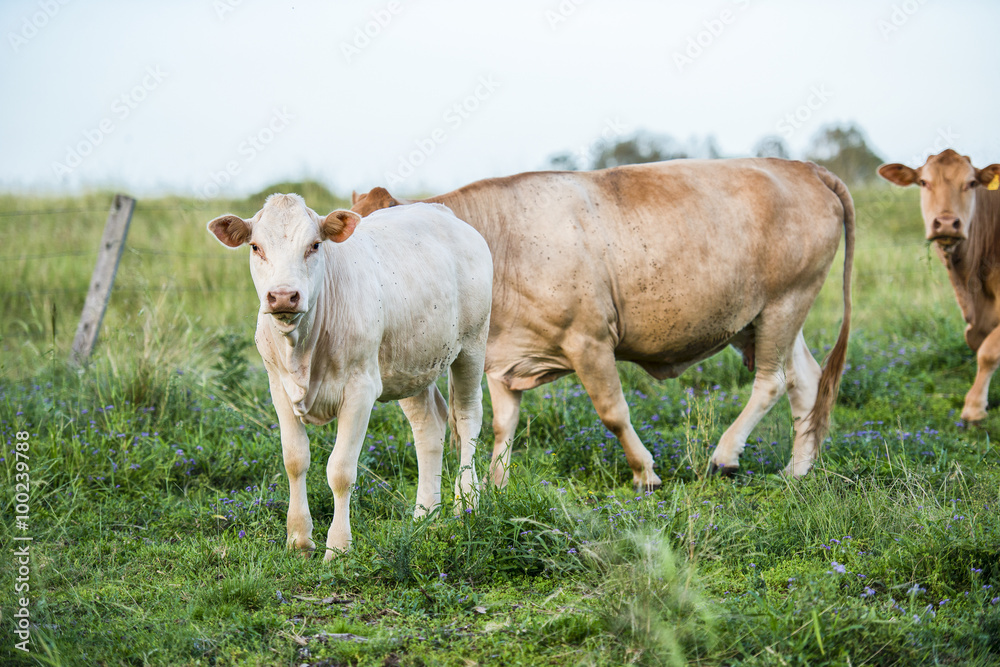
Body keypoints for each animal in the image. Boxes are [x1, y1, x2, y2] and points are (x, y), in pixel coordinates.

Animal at [208, 196, 496, 560]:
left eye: (315, 245)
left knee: (469, 416)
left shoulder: (361, 389)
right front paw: (299, 540)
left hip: (473, 344)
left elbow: (341, 470)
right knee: (429, 426)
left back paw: (466, 505)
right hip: (413, 365)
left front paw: (338, 547)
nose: (284, 295)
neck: (302, 350)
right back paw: (424, 515)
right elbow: (294, 460)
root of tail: (441, 211)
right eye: (256, 246)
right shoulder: (278, 387)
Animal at [352, 160, 852, 486]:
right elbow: (502, 428)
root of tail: (804, 168)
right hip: (764, 318)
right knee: (806, 382)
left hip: (785, 303)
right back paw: (797, 470)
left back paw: (726, 456)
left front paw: (645, 473)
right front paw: (496, 485)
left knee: (772, 381)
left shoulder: (589, 340)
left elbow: (613, 412)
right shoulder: (505, 360)